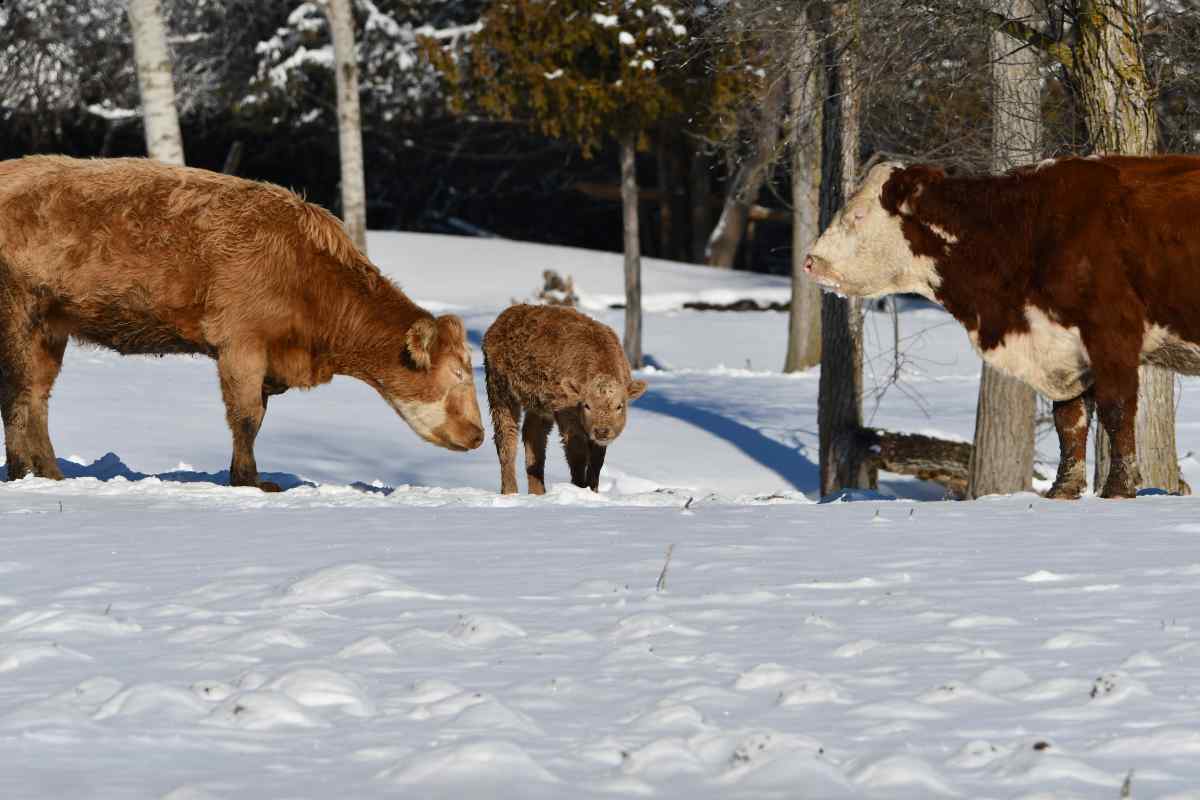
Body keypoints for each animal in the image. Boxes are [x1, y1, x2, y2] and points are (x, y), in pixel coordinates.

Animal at [2, 155, 487, 489]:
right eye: (459, 373)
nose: (480, 434)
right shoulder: (241, 342)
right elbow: (247, 417)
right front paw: (249, 482)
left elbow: (258, 415)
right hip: (18, 315)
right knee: (19, 393)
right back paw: (28, 471)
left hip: (51, 326)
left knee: (36, 395)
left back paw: (47, 472)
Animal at [801, 153, 1200, 496]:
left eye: (858, 215)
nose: (809, 261)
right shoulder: (1063, 350)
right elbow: (1069, 420)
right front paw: (1063, 490)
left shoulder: (1112, 333)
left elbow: (1116, 412)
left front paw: (1118, 489)